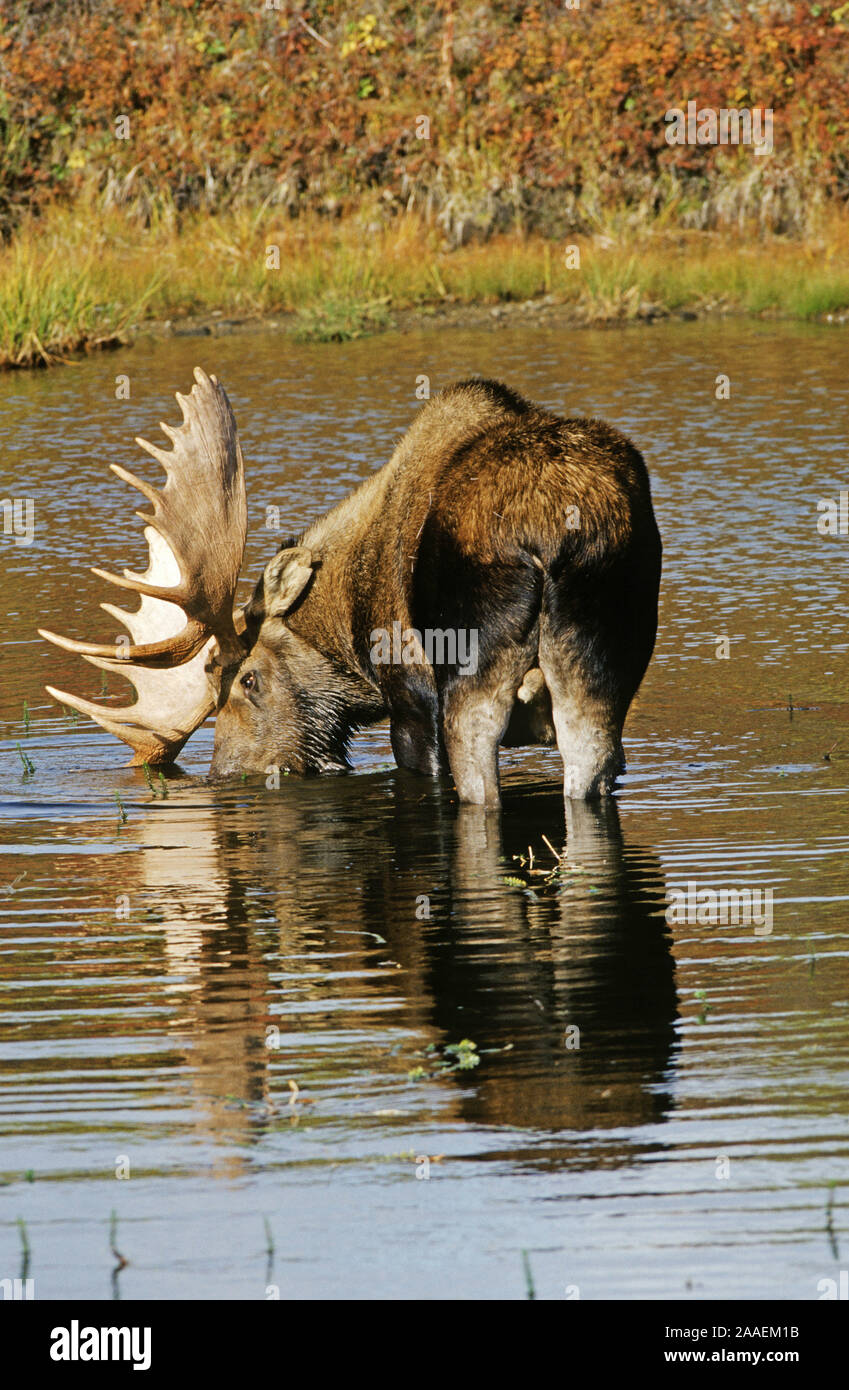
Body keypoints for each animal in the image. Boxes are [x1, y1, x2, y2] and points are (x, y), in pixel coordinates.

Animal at [41, 364, 664, 811]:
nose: (230, 777)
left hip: (470, 659)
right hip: (608, 648)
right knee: (591, 759)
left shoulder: (409, 696)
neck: (344, 629)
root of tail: (553, 530)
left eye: (246, 680)